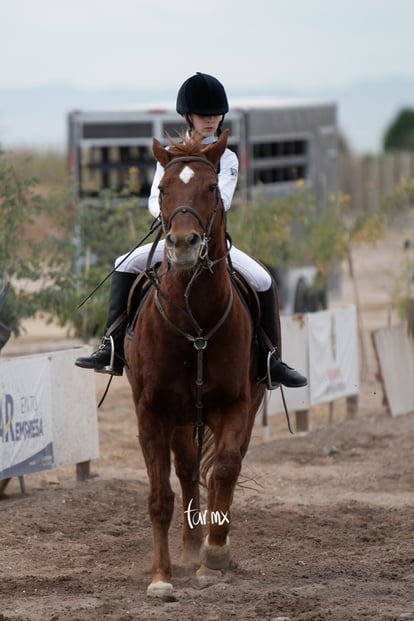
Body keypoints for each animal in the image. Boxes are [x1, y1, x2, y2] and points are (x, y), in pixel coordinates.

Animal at [124, 127, 266, 596]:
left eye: (210, 188)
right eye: (162, 189)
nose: (184, 244)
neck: (194, 321)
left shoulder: (236, 404)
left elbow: (224, 470)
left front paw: (214, 555)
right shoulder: (151, 411)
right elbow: (160, 496)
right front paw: (161, 577)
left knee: (223, 468)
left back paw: (204, 554)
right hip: (181, 418)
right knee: (186, 471)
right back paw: (187, 551)